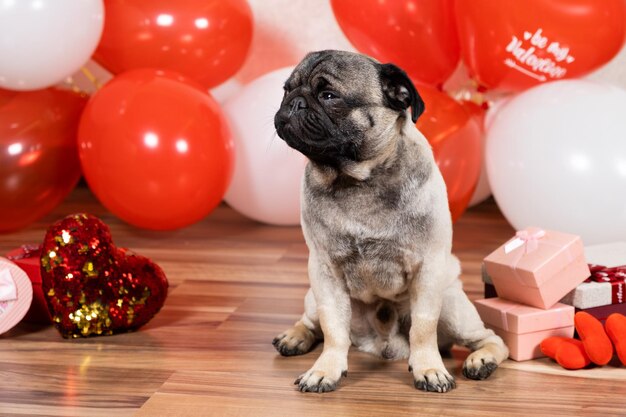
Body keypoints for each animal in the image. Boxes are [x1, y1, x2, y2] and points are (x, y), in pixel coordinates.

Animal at [270, 50, 504, 392]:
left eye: (329, 96)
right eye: (286, 90)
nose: (294, 102)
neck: (357, 179)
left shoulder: (428, 269)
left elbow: (423, 327)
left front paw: (429, 369)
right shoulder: (324, 272)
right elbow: (333, 330)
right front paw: (325, 370)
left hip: (451, 304)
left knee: (492, 339)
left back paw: (481, 360)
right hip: (313, 294)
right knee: (314, 323)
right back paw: (295, 337)